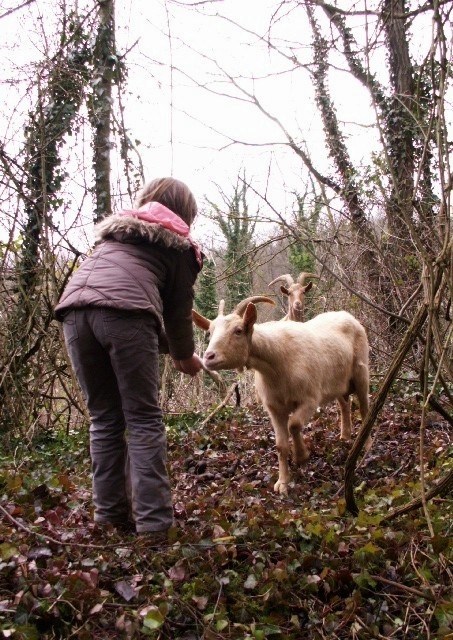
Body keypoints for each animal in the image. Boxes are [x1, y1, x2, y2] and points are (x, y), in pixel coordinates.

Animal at [192, 298, 370, 498]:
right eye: (210, 332)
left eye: (238, 330)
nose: (208, 357)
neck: (277, 363)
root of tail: (348, 316)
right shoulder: (274, 408)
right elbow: (280, 445)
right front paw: (283, 483)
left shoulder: (310, 399)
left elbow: (294, 424)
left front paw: (301, 456)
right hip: (338, 382)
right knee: (344, 403)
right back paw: (345, 436)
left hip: (361, 372)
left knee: (365, 408)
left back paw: (367, 446)